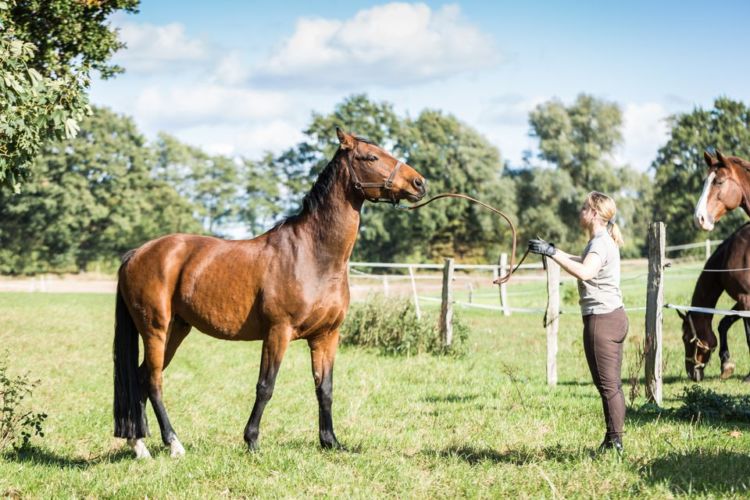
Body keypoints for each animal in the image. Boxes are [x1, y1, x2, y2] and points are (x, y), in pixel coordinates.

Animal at [114, 128, 426, 458]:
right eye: (371, 157)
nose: (419, 183)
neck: (313, 254)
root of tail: (137, 254)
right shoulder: (278, 331)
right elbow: (266, 386)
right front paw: (252, 441)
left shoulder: (326, 336)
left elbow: (324, 388)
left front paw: (330, 441)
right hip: (155, 330)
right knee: (154, 381)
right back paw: (172, 443)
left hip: (176, 330)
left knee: (140, 378)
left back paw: (139, 445)